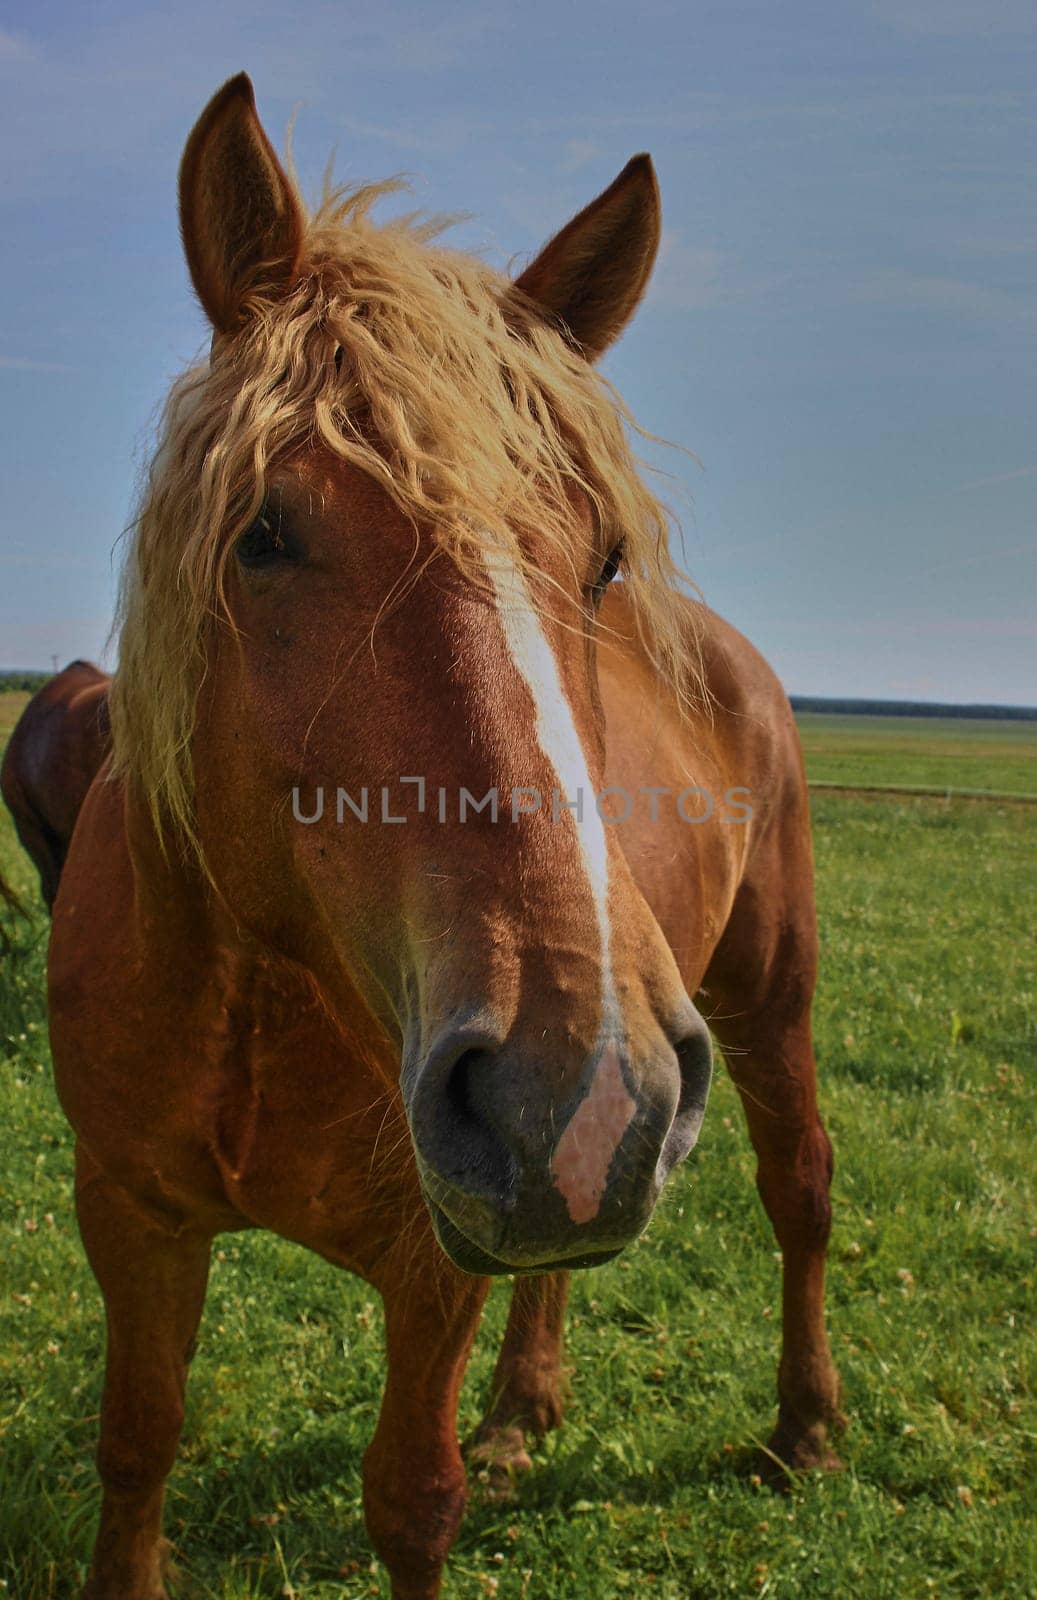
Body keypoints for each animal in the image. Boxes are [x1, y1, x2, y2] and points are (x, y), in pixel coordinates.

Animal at [46, 72, 844, 1600]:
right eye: (263, 533)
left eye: (602, 558)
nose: (571, 1086)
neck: (264, 1000)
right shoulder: (131, 1215)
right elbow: (138, 1446)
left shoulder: (434, 1265)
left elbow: (413, 1502)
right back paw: (526, 1411)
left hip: (760, 1008)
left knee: (801, 1191)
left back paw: (808, 1430)